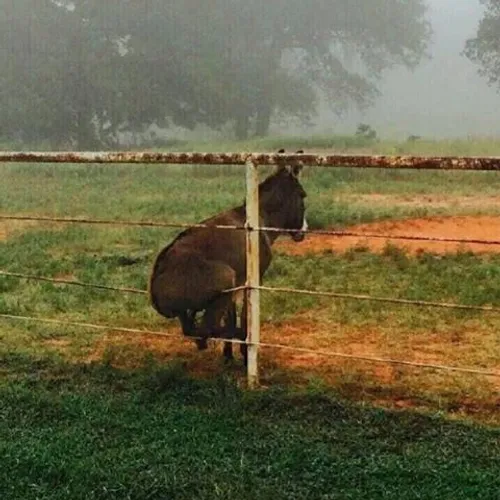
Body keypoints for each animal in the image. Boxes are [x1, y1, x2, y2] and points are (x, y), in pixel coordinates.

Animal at [148, 148, 306, 364]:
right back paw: (241, 336)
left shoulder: (237, 283)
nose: (303, 232)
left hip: (196, 305)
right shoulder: (251, 280)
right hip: (225, 276)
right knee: (206, 329)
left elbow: (231, 316)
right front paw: (245, 353)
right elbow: (246, 316)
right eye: (303, 196)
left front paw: (229, 354)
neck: (260, 217)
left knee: (194, 330)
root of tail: (157, 282)